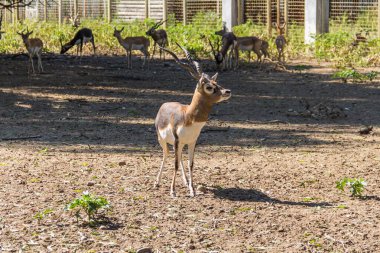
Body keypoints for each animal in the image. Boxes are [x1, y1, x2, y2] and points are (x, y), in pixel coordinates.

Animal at [154, 43, 232, 198]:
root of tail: (164, 105)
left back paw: (184, 182)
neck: (188, 116)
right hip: (163, 140)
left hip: (181, 144)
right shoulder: (177, 141)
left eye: (216, 83)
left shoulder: (192, 141)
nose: (227, 91)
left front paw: (192, 189)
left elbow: (191, 164)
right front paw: (173, 191)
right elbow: (175, 164)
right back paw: (157, 182)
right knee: (166, 155)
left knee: (180, 158)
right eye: (209, 87)